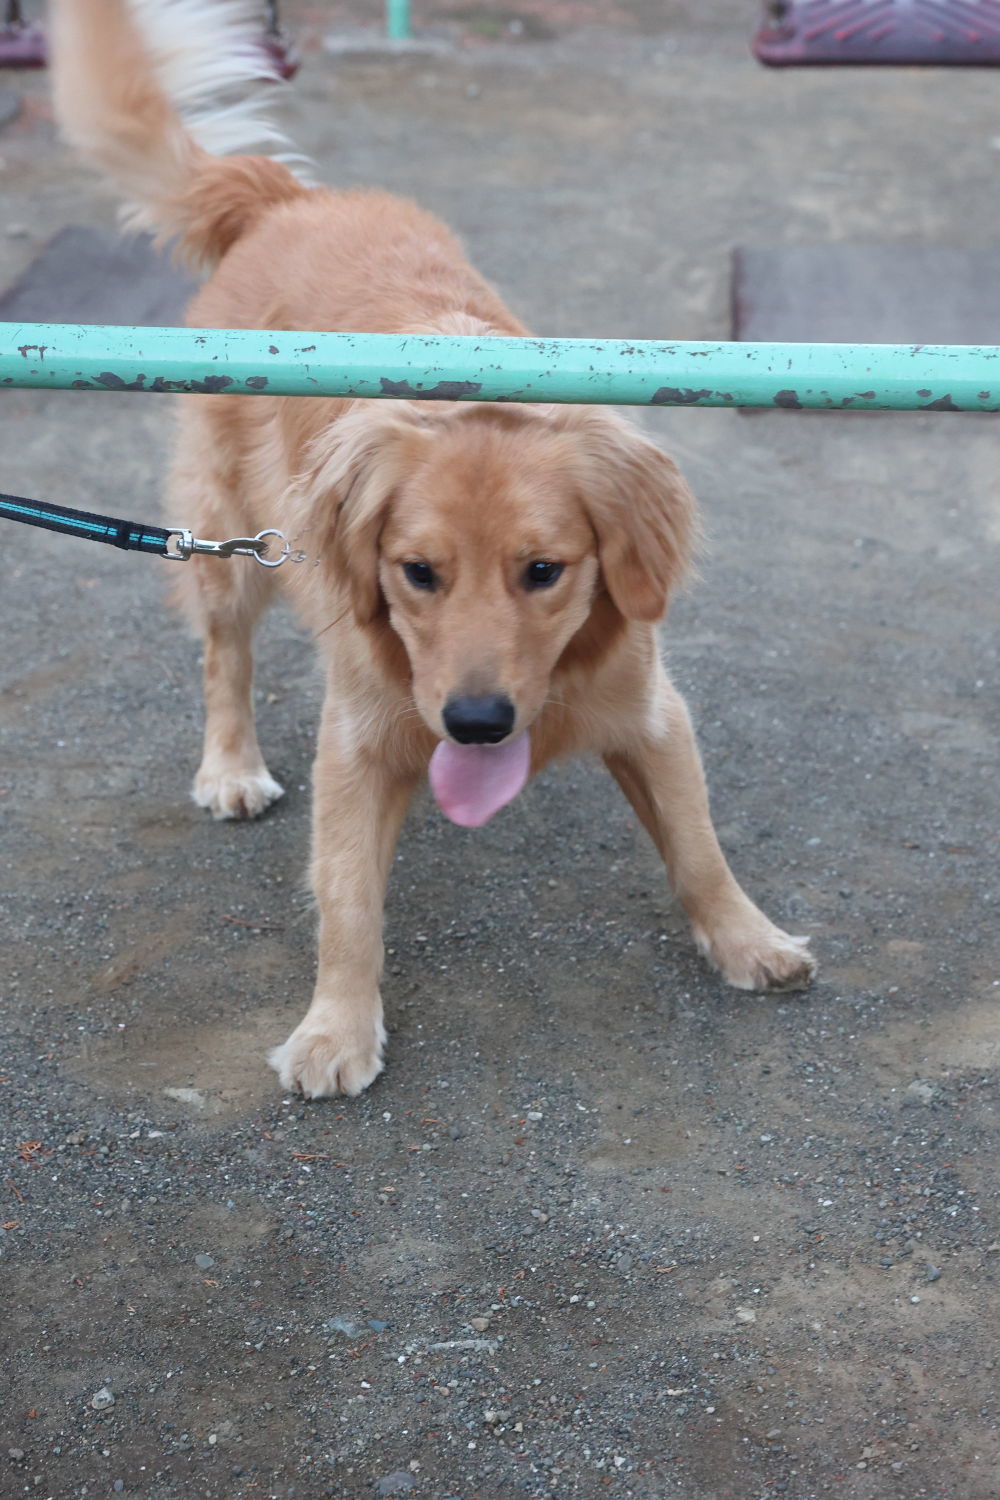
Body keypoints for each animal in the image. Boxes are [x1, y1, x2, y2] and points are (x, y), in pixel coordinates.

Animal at [50, 0, 815, 1104]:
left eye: (545, 571)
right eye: (417, 574)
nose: (478, 723)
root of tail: (287, 201)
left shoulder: (648, 711)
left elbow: (700, 848)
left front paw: (749, 940)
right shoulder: (362, 739)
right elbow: (347, 898)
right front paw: (335, 1026)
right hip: (223, 540)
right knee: (223, 656)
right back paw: (231, 766)